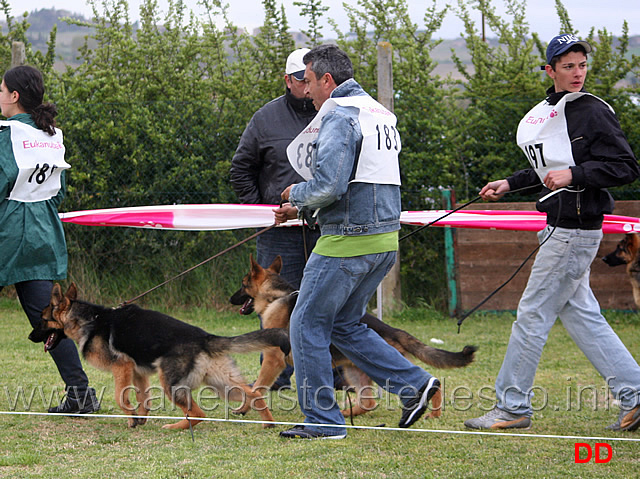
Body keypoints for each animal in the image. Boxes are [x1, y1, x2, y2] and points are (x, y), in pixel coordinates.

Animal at [28, 284, 290, 430]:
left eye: (42, 319)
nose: (30, 336)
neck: (89, 321)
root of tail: (204, 336)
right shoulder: (138, 373)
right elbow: (143, 399)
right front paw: (139, 420)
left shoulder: (121, 367)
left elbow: (121, 397)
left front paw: (131, 418)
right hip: (221, 384)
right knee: (253, 393)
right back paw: (268, 423)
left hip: (171, 384)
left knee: (199, 414)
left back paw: (174, 426)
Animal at [229, 256, 476, 418]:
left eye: (242, 285)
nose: (231, 299)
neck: (275, 297)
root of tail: (393, 330)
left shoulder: (273, 361)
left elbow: (256, 389)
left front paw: (244, 408)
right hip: (353, 370)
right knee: (368, 402)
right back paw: (347, 413)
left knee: (422, 382)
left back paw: (433, 412)